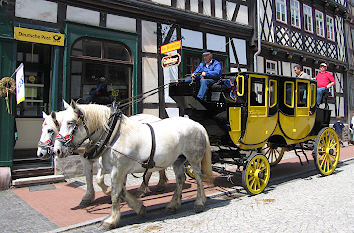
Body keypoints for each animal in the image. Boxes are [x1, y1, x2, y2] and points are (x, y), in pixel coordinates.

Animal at [37, 103, 169, 207]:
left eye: (50, 130)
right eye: (42, 130)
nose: (40, 153)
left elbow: (99, 179)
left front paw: (109, 190)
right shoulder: (86, 157)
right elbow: (88, 176)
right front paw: (88, 197)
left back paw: (143, 189)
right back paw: (159, 184)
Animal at [52, 102, 213, 229]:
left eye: (71, 122)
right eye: (58, 123)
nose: (57, 150)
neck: (114, 134)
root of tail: (197, 124)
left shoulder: (118, 170)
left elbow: (116, 194)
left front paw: (110, 221)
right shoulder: (119, 171)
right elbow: (121, 191)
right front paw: (139, 208)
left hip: (193, 159)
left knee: (199, 178)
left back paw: (199, 202)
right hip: (178, 160)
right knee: (180, 180)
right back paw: (173, 205)